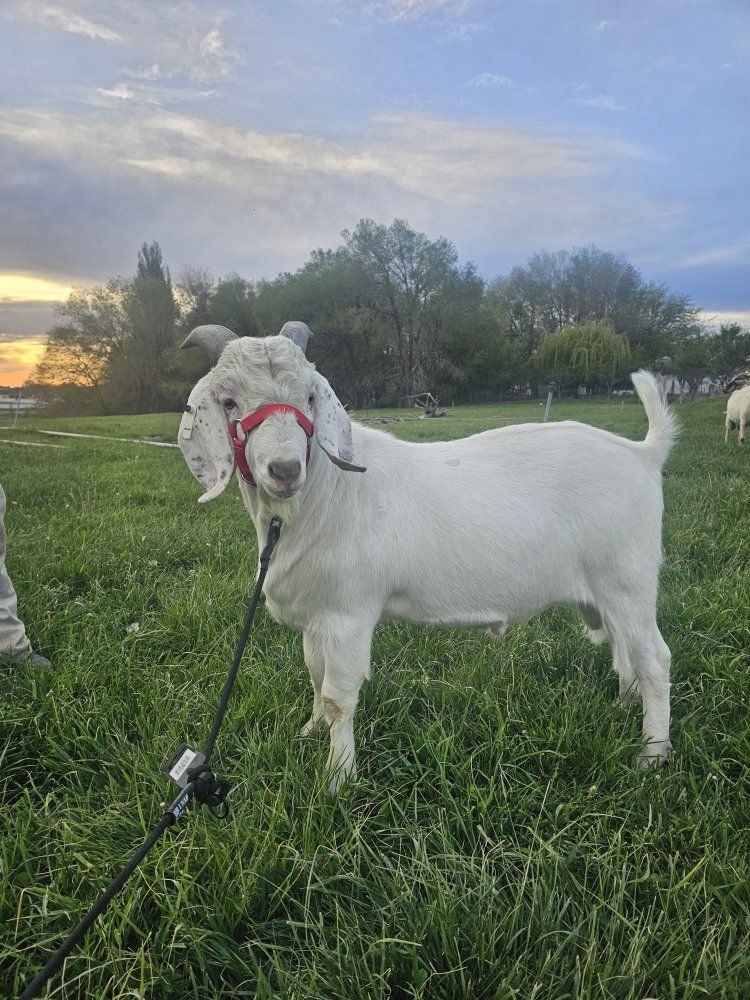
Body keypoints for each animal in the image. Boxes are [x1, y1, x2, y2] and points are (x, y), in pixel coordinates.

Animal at [179, 323, 677, 794]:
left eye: (310, 396)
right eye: (228, 400)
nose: (284, 470)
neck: (325, 496)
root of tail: (643, 453)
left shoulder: (348, 614)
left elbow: (339, 696)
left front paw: (337, 779)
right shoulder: (318, 616)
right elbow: (316, 677)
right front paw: (309, 732)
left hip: (627, 579)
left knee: (654, 659)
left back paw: (652, 754)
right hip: (607, 592)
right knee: (625, 653)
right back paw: (623, 708)